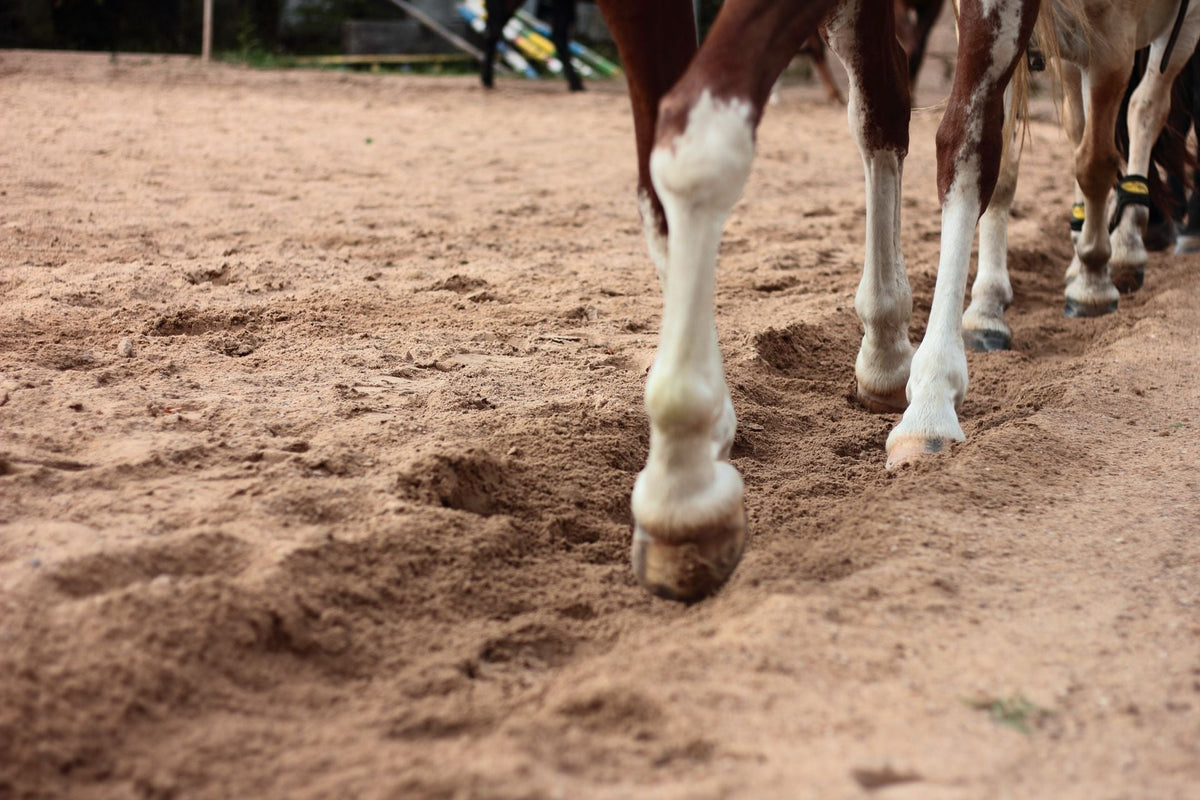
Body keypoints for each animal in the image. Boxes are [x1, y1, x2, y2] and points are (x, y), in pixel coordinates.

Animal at [594, 0, 1050, 601]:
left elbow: (703, 146)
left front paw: (683, 486)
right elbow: (659, 174)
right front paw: (708, 434)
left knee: (969, 142)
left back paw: (933, 397)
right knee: (883, 104)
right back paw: (887, 353)